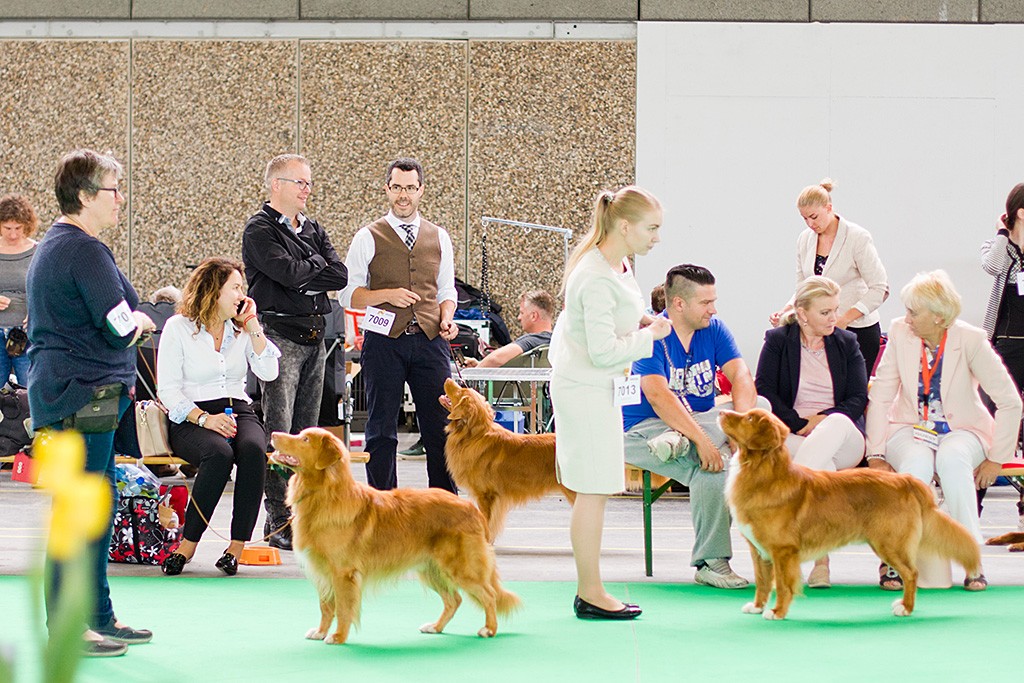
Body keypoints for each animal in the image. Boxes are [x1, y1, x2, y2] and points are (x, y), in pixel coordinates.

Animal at [268, 430, 520, 643]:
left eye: (305, 440)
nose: (273, 434)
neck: (324, 495)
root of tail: (473, 509)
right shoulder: (323, 570)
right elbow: (326, 606)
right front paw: (320, 632)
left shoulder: (343, 573)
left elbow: (343, 607)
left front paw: (338, 637)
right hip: (431, 568)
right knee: (454, 600)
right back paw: (435, 627)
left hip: (461, 566)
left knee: (489, 595)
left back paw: (489, 629)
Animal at [716, 409, 978, 622]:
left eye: (749, 418)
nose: (720, 411)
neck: (763, 473)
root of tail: (905, 480)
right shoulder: (758, 549)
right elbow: (761, 581)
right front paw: (757, 606)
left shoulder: (783, 550)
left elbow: (782, 584)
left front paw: (777, 612)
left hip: (889, 543)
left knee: (911, 572)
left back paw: (906, 607)